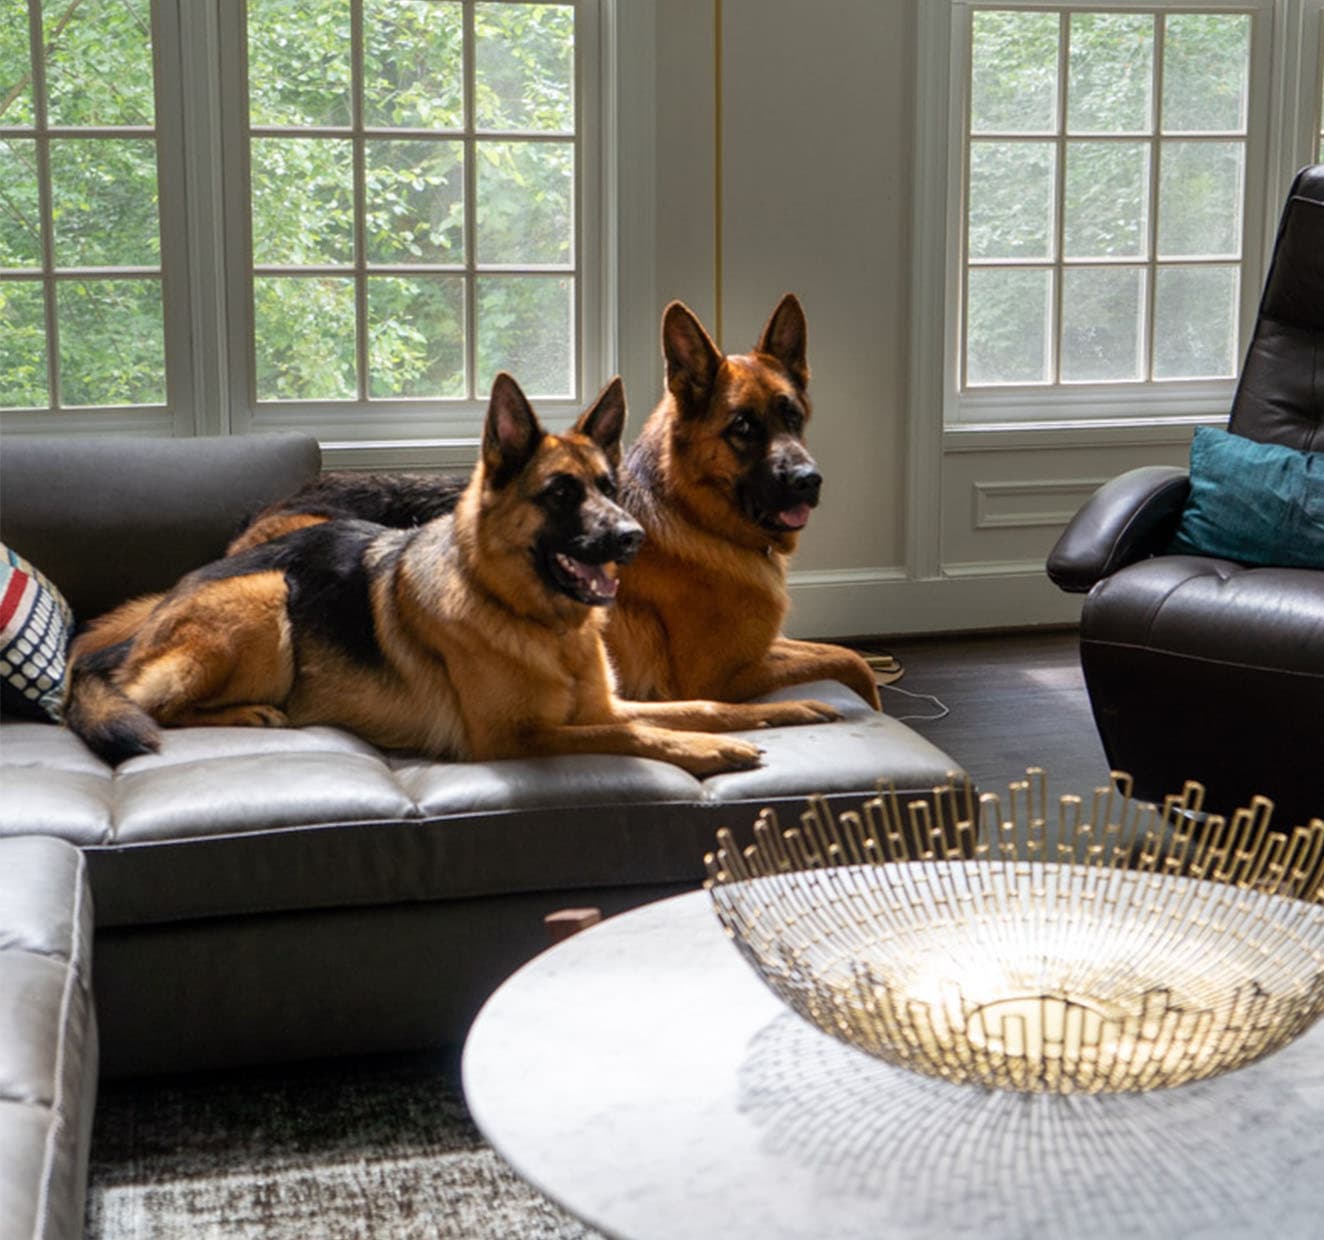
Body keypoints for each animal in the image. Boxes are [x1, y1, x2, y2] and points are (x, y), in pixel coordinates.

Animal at [64, 373, 836, 767]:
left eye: (609, 488)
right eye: (561, 494)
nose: (632, 538)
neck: (544, 628)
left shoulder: (607, 703)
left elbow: (707, 703)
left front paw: (783, 712)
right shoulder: (515, 738)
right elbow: (638, 733)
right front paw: (708, 749)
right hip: (264, 598)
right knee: (149, 701)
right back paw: (248, 711)